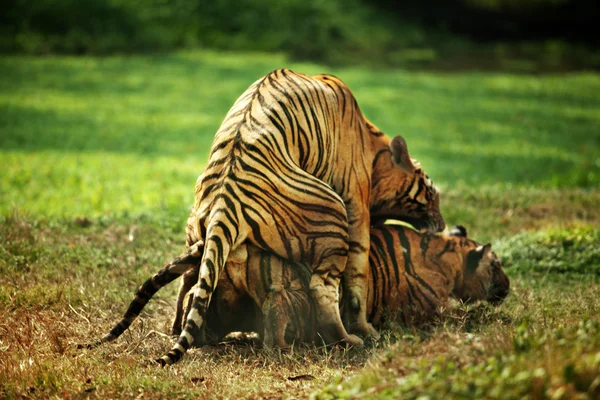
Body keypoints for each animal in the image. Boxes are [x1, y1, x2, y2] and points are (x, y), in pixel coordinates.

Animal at [157, 69, 442, 366]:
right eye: (433, 193)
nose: (443, 224)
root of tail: (227, 197)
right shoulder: (356, 203)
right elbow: (357, 277)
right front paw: (366, 329)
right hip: (333, 212)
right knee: (321, 287)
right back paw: (348, 340)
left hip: (197, 231)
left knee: (190, 280)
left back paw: (176, 327)